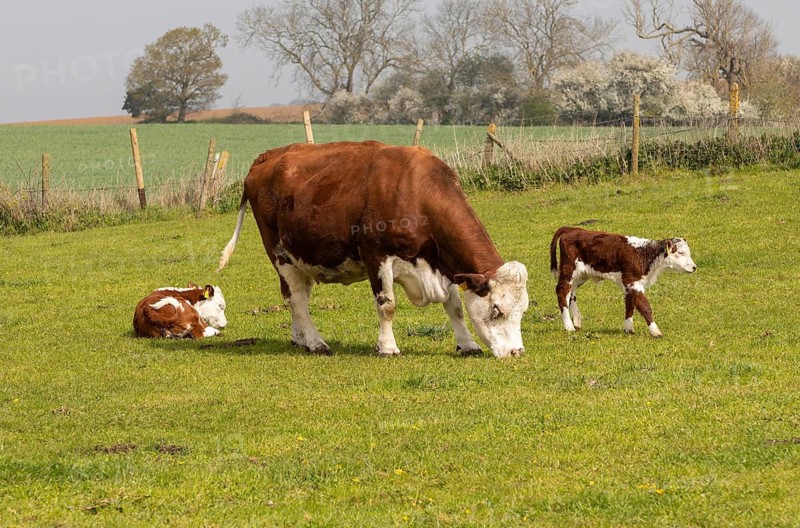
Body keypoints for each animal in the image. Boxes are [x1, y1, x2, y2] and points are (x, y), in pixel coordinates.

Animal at [217, 141, 529, 358]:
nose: (516, 352)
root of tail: (267, 156)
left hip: (301, 255)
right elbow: (387, 305)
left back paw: (300, 338)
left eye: (523, 310)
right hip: (280, 254)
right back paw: (316, 342)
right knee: (297, 299)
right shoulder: (377, 256)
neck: (417, 192)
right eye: (497, 310)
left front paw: (467, 344)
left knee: (297, 296)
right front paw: (387, 347)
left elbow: (454, 307)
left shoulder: (443, 263)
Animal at [550, 227, 697, 337]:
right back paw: (569, 326)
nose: (694, 267)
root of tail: (572, 229)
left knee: (571, 294)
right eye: (681, 252)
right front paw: (655, 331)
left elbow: (630, 304)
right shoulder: (633, 282)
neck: (643, 255)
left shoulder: (628, 285)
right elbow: (644, 306)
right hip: (568, 270)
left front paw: (628, 329)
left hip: (580, 275)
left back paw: (577, 321)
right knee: (562, 291)